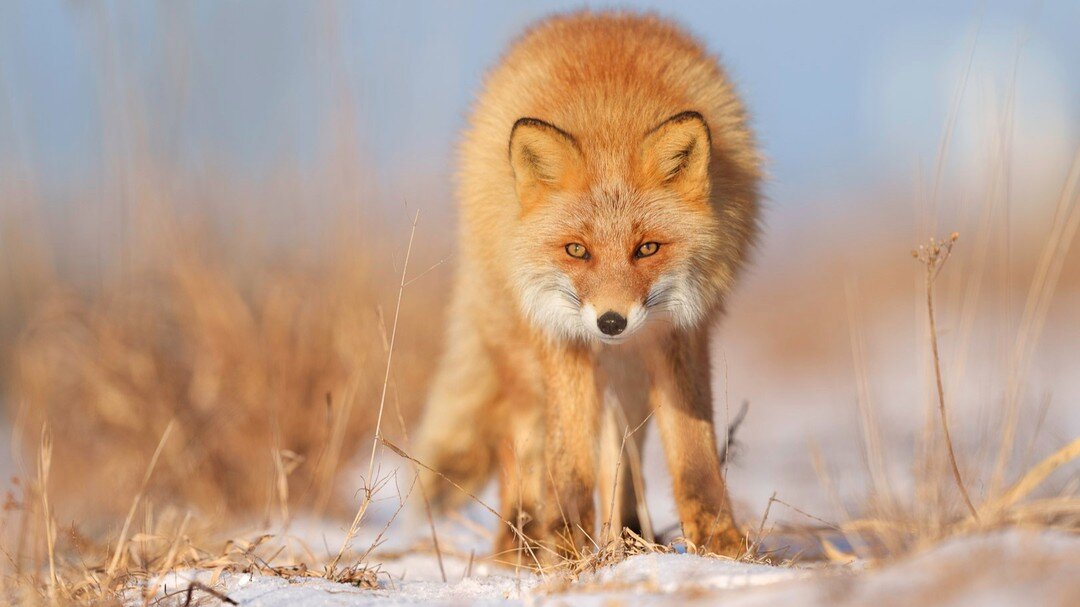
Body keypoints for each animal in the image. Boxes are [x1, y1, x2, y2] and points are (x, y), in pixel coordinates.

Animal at [412, 9, 760, 561]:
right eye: (577, 250)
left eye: (647, 248)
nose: (611, 321)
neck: (610, 114)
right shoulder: (562, 336)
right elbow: (569, 461)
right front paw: (569, 546)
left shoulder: (680, 333)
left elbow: (692, 456)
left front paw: (720, 545)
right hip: (524, 358)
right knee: (522, 443)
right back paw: (520, 542)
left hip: (629, 381)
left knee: (623, 454)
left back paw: (629, 536)